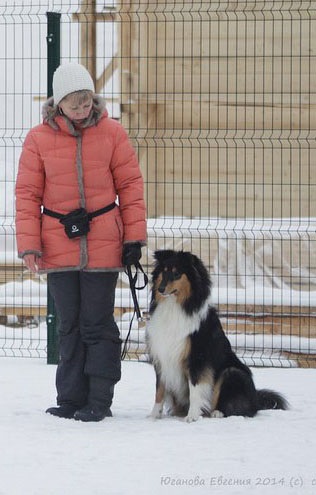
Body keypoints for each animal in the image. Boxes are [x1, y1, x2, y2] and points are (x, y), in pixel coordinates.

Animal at [147, 252, 288, 422]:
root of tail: (255, 399)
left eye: (177, 273)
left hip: (232, 372)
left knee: (244, 409)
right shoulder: (162, 356)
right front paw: (154, 415)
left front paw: (192, 416)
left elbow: (195, 389)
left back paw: (217, 412)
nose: (160, 289)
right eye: (164, 271)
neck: (175, 306)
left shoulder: (197, 358)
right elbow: (159, 390)